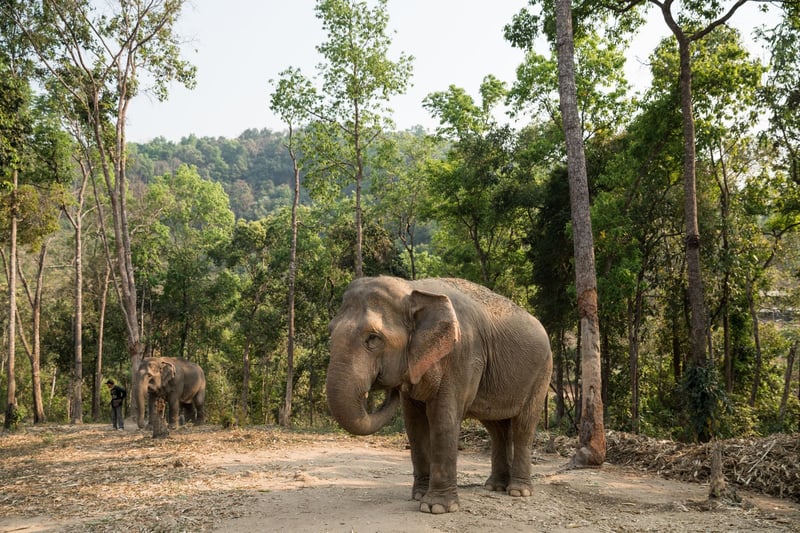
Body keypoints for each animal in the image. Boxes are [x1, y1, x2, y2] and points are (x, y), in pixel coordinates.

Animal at [324, 274, 552, 512]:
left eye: (373, 338)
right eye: (330, 333)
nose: (390, 389)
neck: (412, 288)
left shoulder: (462, 356)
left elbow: (443, 418)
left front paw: (436, 508)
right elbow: (414, 425)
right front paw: (418, 496)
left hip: (542, 374)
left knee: (523, 426)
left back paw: (518, 491)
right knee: (497, 428)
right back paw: (495, 487)